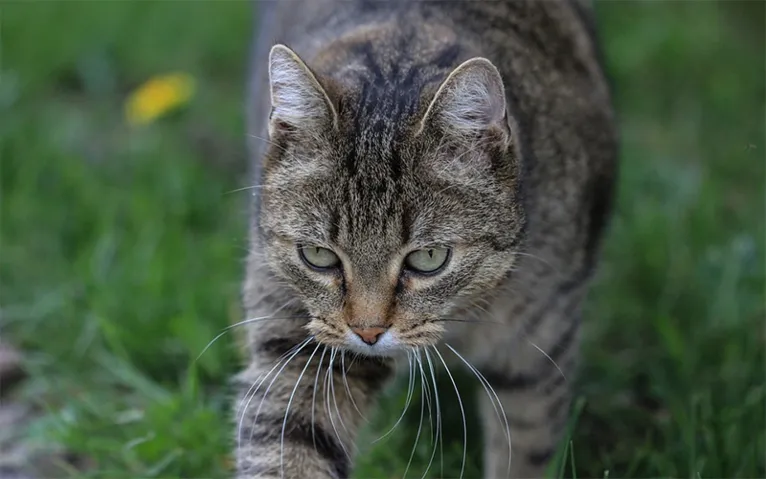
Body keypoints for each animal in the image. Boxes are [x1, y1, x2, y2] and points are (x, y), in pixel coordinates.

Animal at [237, 0, 620, 476]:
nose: (367, 332)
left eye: (429, 258)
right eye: (318, 256)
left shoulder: (537, 353)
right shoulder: (300, 345)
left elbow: (525, 450)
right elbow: (288, 439)